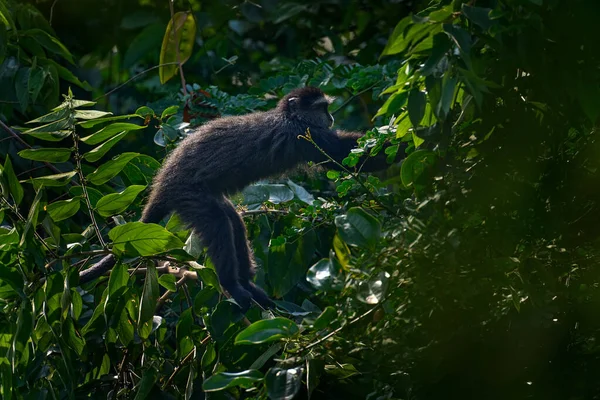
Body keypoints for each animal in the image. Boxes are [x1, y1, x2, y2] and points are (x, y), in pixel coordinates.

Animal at [79, 86, 398, 312]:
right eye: (323, 109)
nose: (331, 118)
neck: (288, 116)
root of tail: (164, 181)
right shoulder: (304, 135)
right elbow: (345, 155)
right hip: (189, 194)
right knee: (218, 223)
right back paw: (233, 285)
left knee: (232, 221)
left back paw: (246, 283)